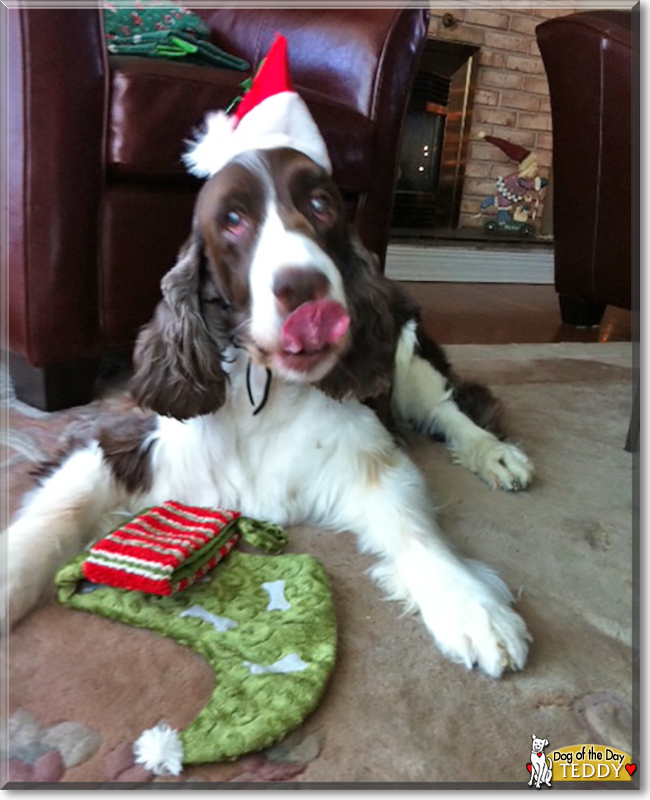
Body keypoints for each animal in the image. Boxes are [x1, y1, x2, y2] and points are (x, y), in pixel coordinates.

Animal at [5, 147, 532, 680]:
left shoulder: (368, 456)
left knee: (448, 407)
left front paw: (473, 609)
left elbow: (414, 529)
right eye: (233, 219)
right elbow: (60, 510)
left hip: (405, 345)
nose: (304, 287)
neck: (265, 389)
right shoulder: (124, 439)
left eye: (321, 204)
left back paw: (496, 456)